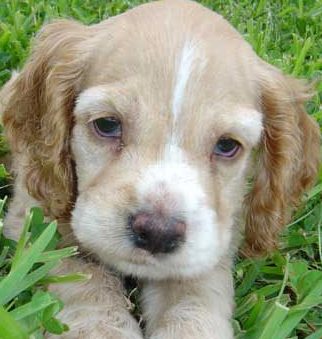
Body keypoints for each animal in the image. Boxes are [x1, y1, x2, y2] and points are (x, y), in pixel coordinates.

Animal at [0, 0, 320, 339]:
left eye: (226, 145)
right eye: (107, 124)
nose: (157, 232)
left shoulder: (213, 237)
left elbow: (195, 294)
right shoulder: (35, 211)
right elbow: (79, 274)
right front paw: (101, 328)